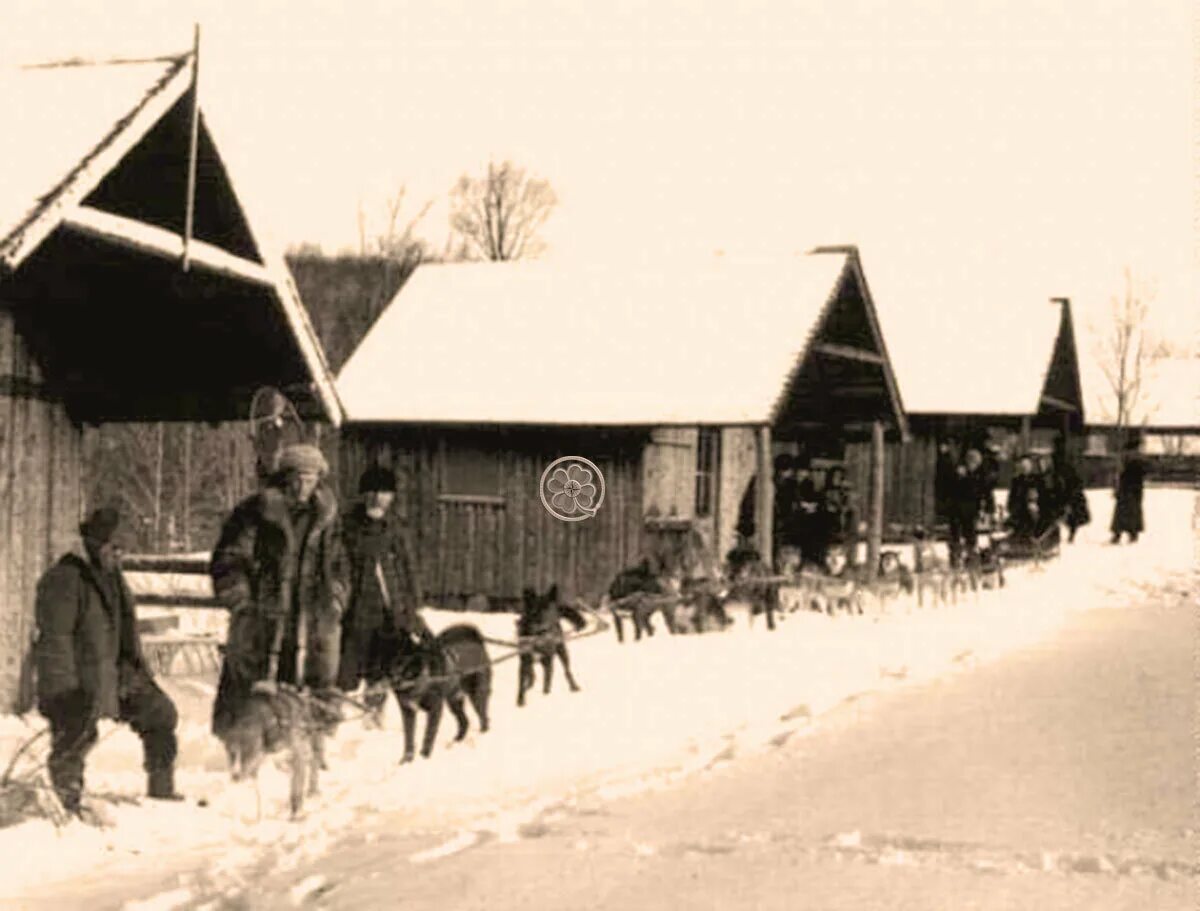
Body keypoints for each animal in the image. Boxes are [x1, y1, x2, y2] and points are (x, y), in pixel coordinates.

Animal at [391, 628, 489, 763]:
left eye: (406, 661)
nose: (394, 680)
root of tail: (478, 644)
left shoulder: (435, 709)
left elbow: (428, 735)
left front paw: (424, 756)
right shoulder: (408, 711)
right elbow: (409, 738)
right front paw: (406, 761)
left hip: (476, 697)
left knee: (483, 718)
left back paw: (482, 736)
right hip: (454, 701)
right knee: (464, 721)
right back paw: (455, 743)